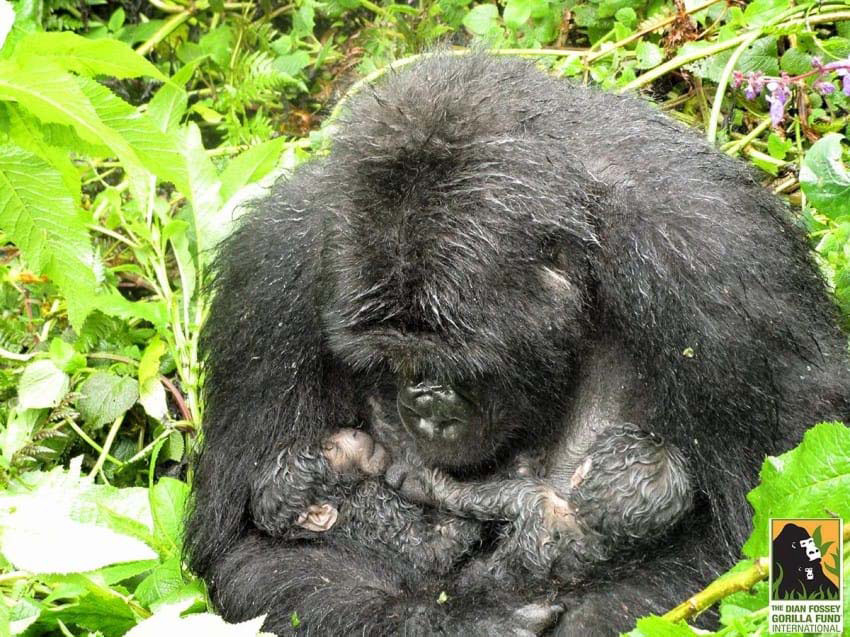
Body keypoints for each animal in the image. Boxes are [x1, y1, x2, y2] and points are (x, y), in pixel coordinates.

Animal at [186, 54, 848, 636]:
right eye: (385, 363)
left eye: (456, 364)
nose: (424, 407)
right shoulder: (269, 274)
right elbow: (244, 554)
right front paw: (457, 622)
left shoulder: (719, 262)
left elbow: (743, 546)